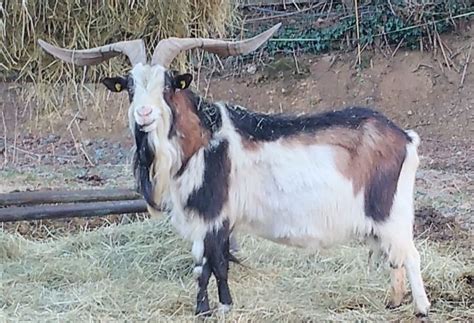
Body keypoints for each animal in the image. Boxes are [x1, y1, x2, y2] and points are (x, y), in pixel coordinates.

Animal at [39, 24, 432, 318]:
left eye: (168, 86)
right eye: (130, 87)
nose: (144, 115)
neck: (202, 142)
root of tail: (404, 137)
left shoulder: (212, 213)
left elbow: (210, 264)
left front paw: (212, 309)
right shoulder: (216, 219)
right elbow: (212, 262)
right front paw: (218, 306)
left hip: (390, 210)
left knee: (410, 255)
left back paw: (422, 308)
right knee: (395, 257)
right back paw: (393, 301)